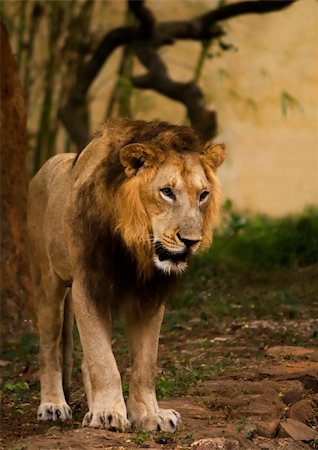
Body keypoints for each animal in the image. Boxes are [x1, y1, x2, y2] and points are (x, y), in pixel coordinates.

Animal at [28, 118, 226, 432]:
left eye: (203, 195)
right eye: (166, 192)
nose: (191, 241)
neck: (135, 243)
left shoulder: (150, 296)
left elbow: (144, 364)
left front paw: (149, 415)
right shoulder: (88, 285)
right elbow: (102, 360)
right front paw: (108, 414)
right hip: (48, 283)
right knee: (49, 348)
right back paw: (53, 405)